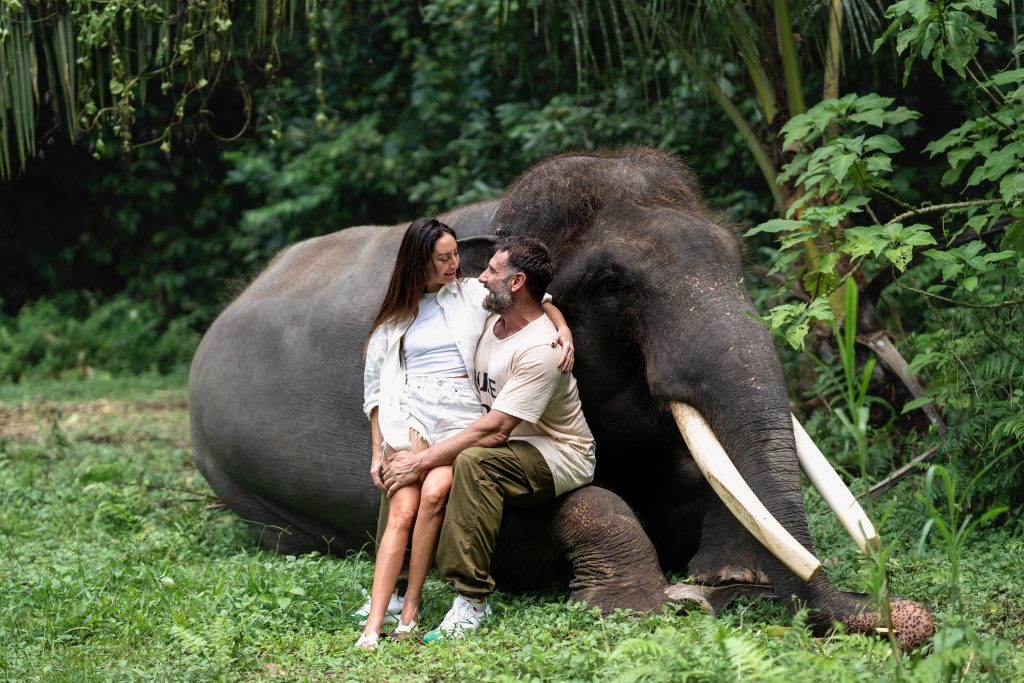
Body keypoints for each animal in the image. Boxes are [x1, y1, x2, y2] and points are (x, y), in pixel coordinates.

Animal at [192, 147, 937, 651]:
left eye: (736, 259)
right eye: (612, 282)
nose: (909, 617)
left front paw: (729, 575)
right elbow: (518, 529)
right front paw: (650, 603)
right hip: (247, 492)